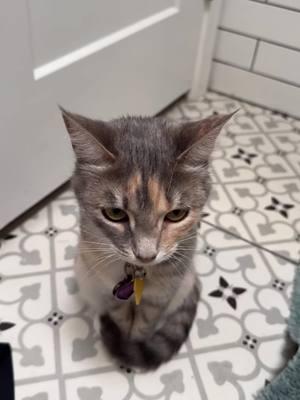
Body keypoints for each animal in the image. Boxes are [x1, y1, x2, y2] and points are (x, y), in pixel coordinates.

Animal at [61, 108, 233, 370]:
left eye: (176, 214)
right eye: (115, 213)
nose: (146, 255)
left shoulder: (162, 296)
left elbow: (145, 323)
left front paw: (133, 344)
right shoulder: (108, 289)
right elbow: (120, 317)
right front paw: (125, 339)